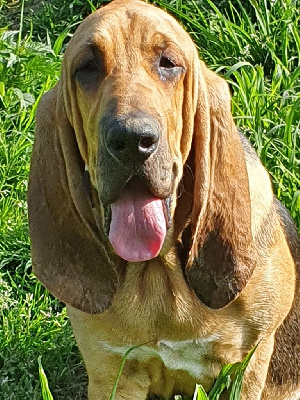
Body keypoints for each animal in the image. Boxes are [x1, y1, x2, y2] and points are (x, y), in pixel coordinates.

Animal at [27, 0, 298, 400]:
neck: (158, 272)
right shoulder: (111, 372)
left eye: (168, 63)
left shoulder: (248, 364)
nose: (131, 140)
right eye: (87, 67)